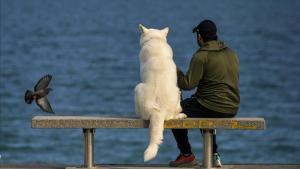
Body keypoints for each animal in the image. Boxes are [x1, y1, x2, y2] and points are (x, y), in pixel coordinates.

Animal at [135, 24, 186, 162]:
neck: (155, 40)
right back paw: (180, 115)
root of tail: (157, 110)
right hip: (176, 91)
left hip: (138, 88)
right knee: (173, 115)